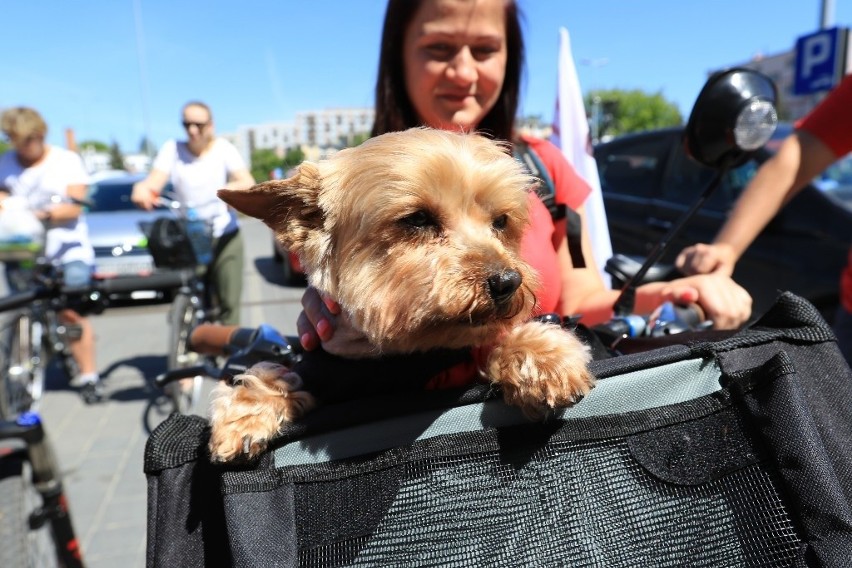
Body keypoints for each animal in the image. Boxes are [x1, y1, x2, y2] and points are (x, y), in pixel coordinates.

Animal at [210, 125, 592, 462]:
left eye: (500, 222)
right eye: (417, 219)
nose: (507, 281)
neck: (405, 358)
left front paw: (543, 357)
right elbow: (275, 373)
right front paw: (244, 416)